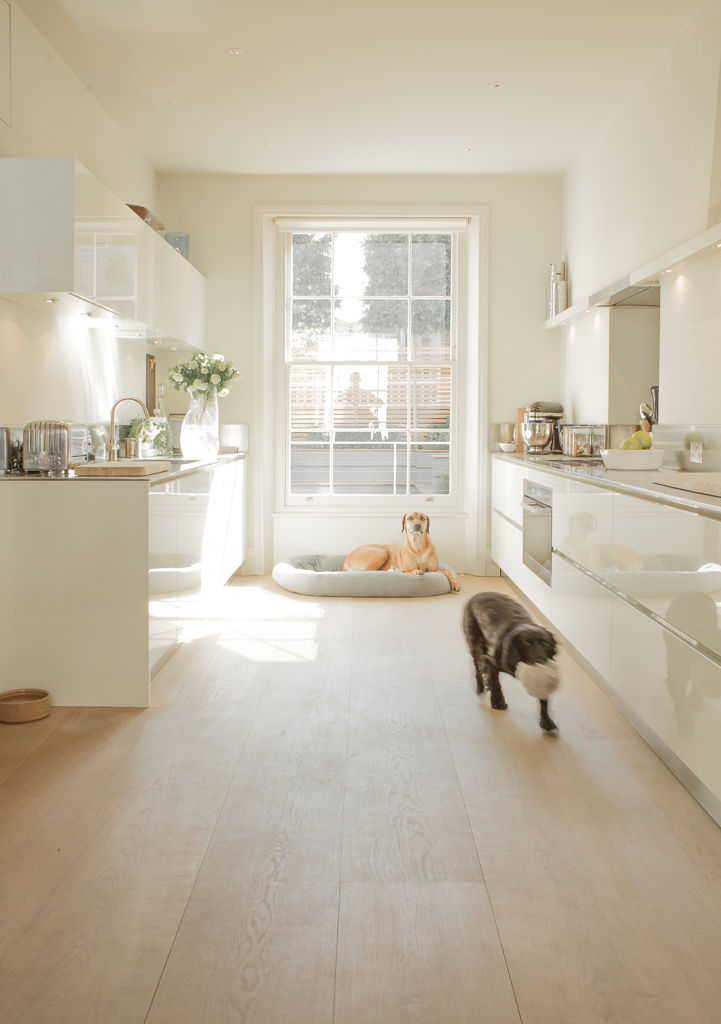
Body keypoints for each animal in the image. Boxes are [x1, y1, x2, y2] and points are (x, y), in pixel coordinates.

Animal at [464, 593, 561, 729]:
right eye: (526, 643)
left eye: (545, 643)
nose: (541, 662)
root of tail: (476, 595)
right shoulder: (493, 663)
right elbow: (496, 684)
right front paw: (498, 702)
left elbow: (543, 698)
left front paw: (546, 720)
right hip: (474, 644)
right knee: (478, 667)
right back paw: (481, 686)